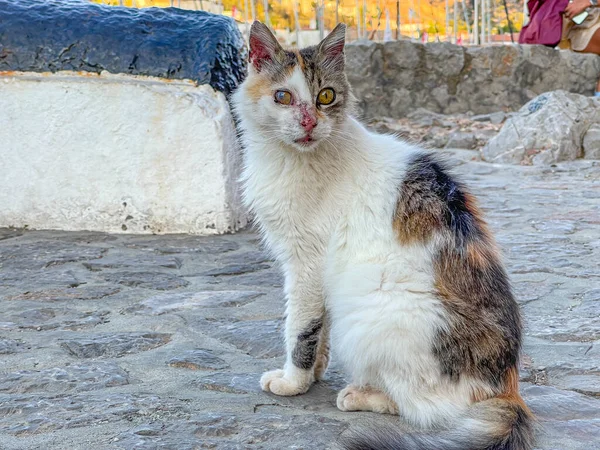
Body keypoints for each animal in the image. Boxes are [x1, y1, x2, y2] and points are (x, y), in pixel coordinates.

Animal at [231, 22, 536, 450]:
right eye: (282, 96)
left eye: (326, 96)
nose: (309, 123)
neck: (290, 159)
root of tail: (506, 388)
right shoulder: (318, 275)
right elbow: (319, 329)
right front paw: (316, 371)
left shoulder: (306, 264)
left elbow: (300, 329)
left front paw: (293, 381)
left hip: (375, 310)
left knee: (425, 407)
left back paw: (361, 394)